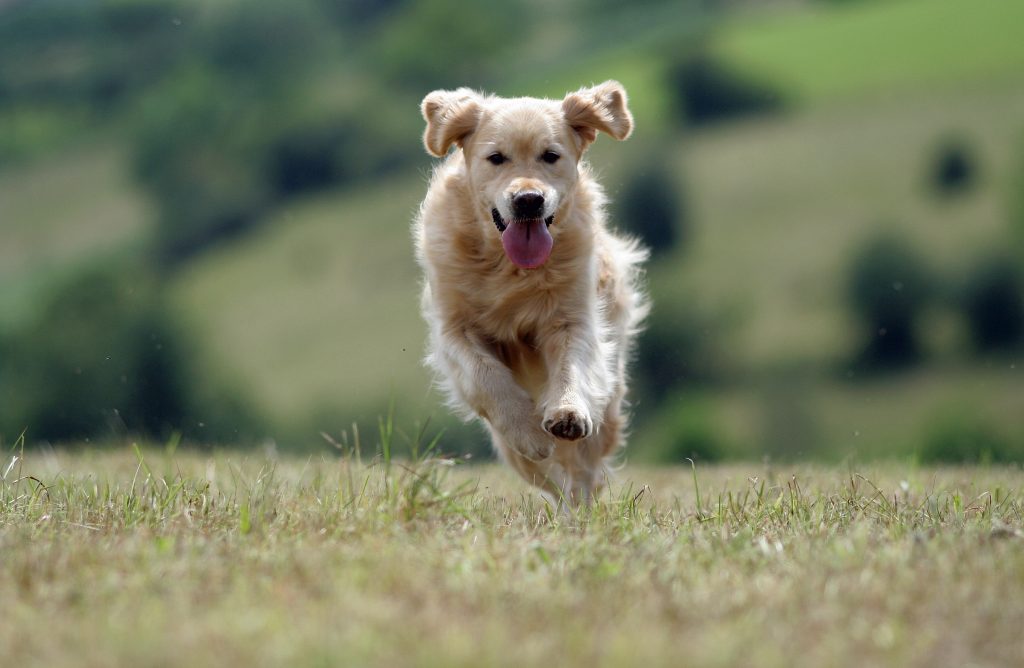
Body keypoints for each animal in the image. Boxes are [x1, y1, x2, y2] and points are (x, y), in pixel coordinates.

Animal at [413, 80, 647, 504]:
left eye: (550, 156)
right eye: (496, 158)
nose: (527, 200)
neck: (511, 268)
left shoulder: (574, 319)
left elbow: (572, 365)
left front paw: (568, 412)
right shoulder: (454, 329)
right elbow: (486, 375)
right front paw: (528, 431)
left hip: (608, 404)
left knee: (581, 474)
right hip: (506, 448)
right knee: (547, 475)